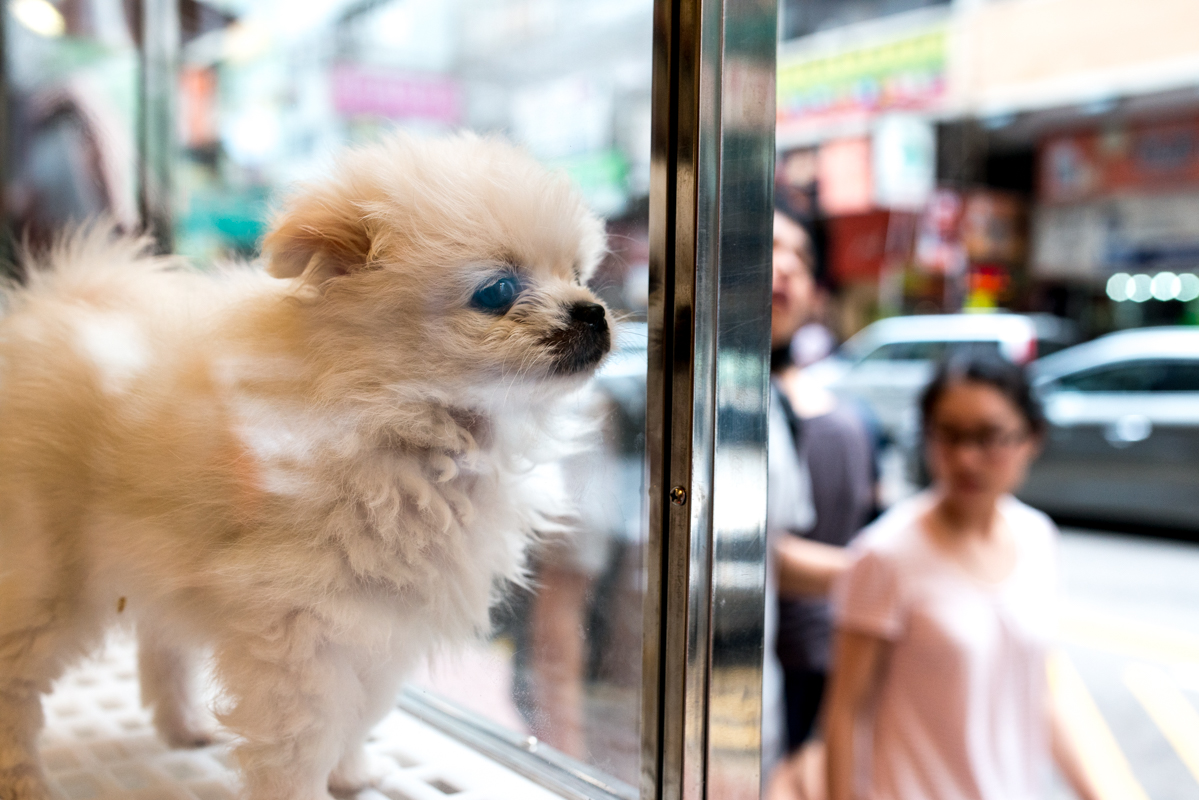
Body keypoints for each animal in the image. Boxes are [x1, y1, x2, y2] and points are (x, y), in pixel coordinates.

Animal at [0, 134, 613, 796]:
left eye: (579, 275)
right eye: (498, 292)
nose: (592, 311)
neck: (412, 432)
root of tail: (44, 307)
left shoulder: (384, 624)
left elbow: (362, 712)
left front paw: (351, 773)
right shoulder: (301, 629)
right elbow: (303, 739)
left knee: (161, 640)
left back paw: (184, 725)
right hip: (46, 577)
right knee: (15, 682)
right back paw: (24, 778)